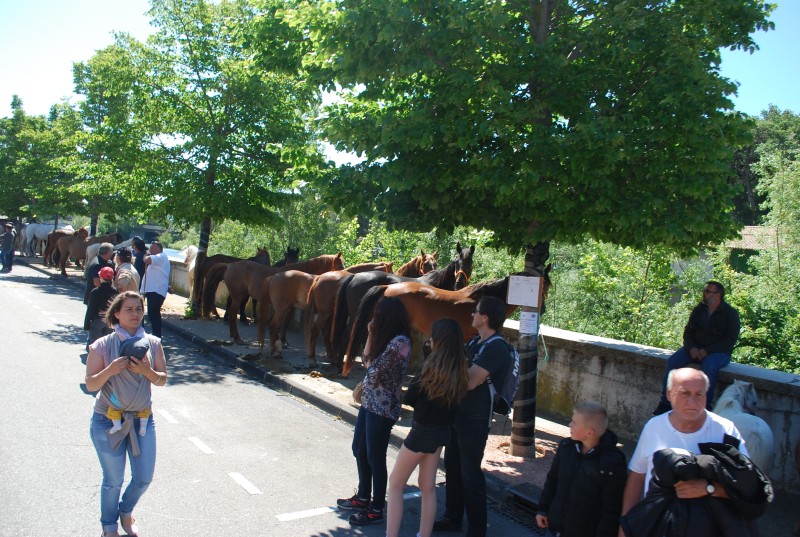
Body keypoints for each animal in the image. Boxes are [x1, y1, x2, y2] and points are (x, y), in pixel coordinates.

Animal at [206, 252, 344, 344]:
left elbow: (283, 321)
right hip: (238, 296)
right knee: (233, 312)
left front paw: (281, 339)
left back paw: (233, 334)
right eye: (340, 266)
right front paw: (281, 340)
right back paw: (237, 337)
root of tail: (229, 266)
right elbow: (283, 322)